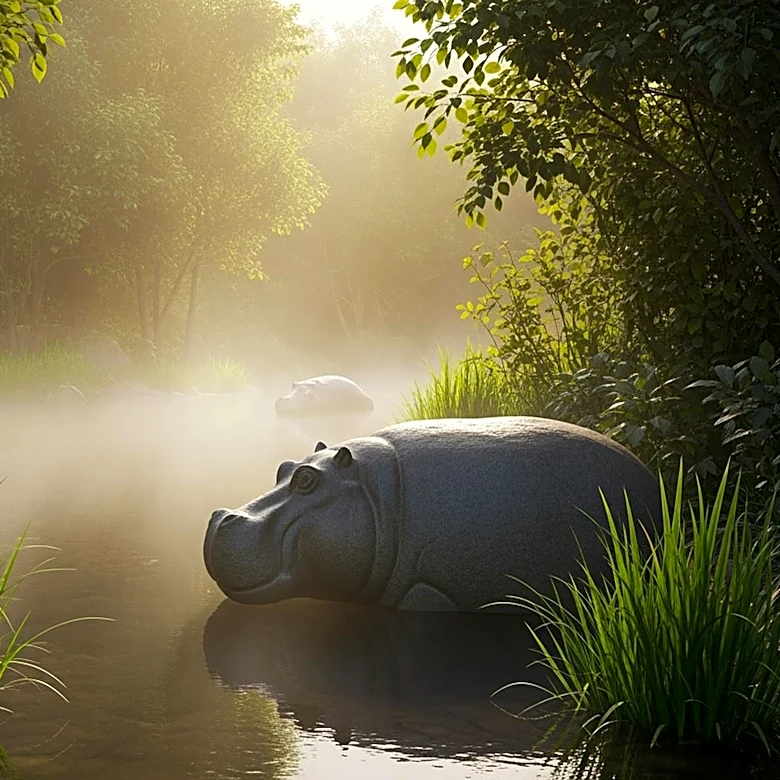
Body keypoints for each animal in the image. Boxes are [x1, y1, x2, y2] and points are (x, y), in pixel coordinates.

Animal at [202, 416, 662, 613]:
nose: (223, 516)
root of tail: (650, 479)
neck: (378, 490)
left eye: (305, 480)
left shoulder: (430, 590)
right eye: (282, 467)